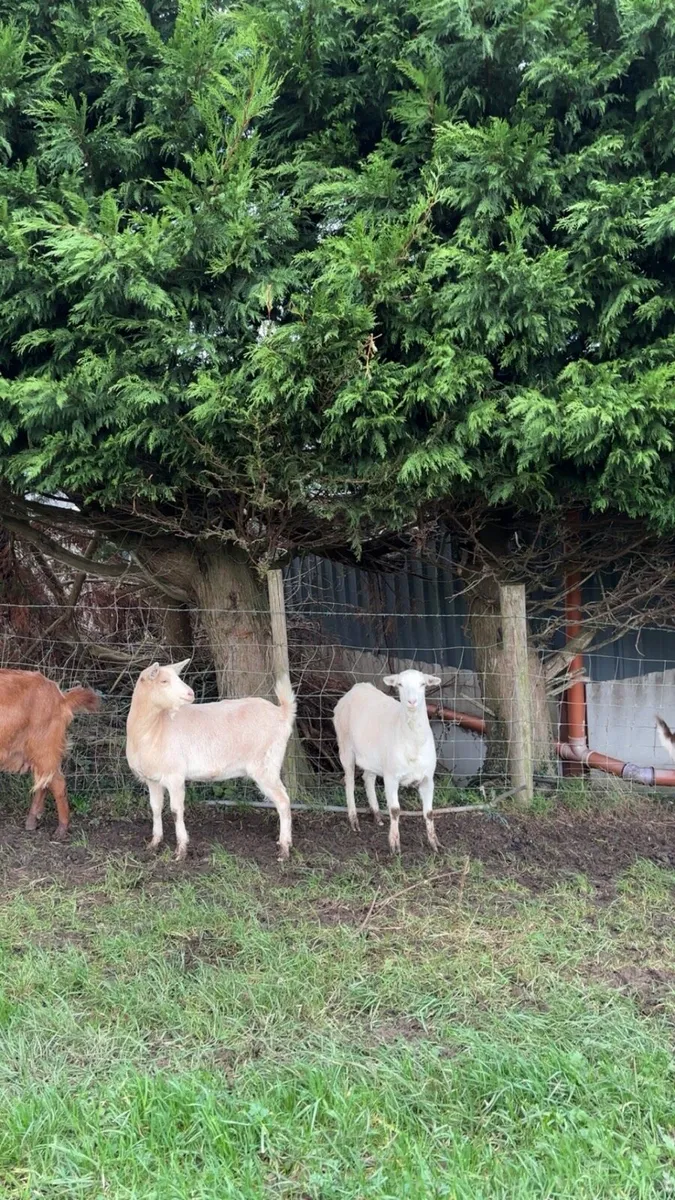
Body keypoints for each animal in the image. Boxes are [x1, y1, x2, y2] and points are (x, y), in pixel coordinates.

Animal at [0, 668, 100, 840]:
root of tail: (61, 698)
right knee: (43, 781)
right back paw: (32, 822)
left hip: (44, 747)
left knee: (58, 783)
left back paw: (61, 830)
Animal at [125, 659, 297, 861]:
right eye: (164, 681)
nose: (190, 693)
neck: (155, 727)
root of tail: (282, 712)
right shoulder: (152, 779)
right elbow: (155, 808)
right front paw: (154, 843)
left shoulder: (175, 776)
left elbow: (176, 810)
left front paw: (181, 850)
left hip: (266, 764)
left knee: (283, 801)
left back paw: (284, 849)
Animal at [333, 669, 441, 854]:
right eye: (400, 684)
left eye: (423, 684)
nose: (412, 702)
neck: (413, 744)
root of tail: (357, 687)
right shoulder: (391, 776)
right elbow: (395, 810)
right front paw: (394, 845)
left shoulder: (428, 778)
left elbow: (429, 813)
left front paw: (435, 844)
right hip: (345, 744)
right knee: (349, 782)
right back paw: (354, 820)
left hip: (372, 757)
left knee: (367, 778)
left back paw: (377, 815)